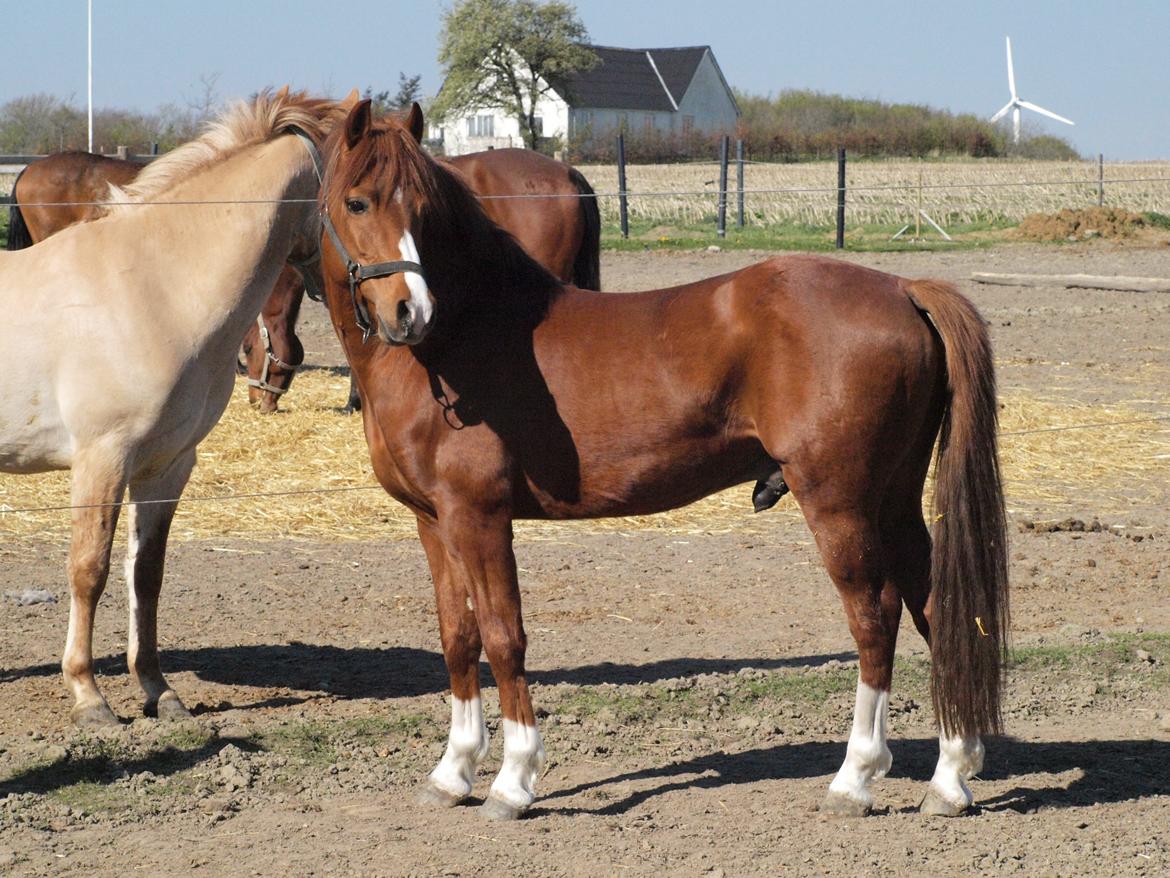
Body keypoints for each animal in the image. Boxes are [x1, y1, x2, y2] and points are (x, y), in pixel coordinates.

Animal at [315, 100, 1009, 821]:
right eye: (357, 202)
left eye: (423, 209)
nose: (410, 311)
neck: (459, 340)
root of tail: (904, 288)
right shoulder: (434, 521)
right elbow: (459, 637)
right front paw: (452, 773)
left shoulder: (480, 518)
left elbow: (505, 638)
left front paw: (512, 781)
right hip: (893, 500)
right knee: (937, 608)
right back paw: (950, 777)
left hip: (840, 502)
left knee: (876, 618)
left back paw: (856, 777)